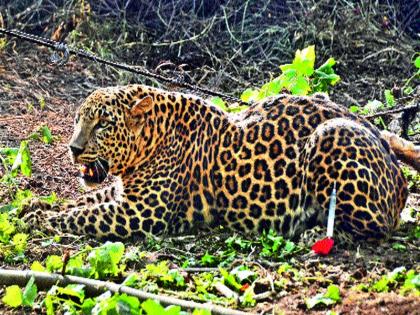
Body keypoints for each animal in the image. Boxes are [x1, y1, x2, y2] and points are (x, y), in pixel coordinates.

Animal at [21, 84, 418, 242]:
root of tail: (400, 180)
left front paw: (39, 220)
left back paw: (312, 232)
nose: (73, 148)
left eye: (103, 124)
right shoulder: (124, 196)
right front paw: (34, 205)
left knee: (377, 227)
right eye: (78, 119)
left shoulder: (140, 213)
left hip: (331, 134)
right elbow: (84, 200)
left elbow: (82, 215)